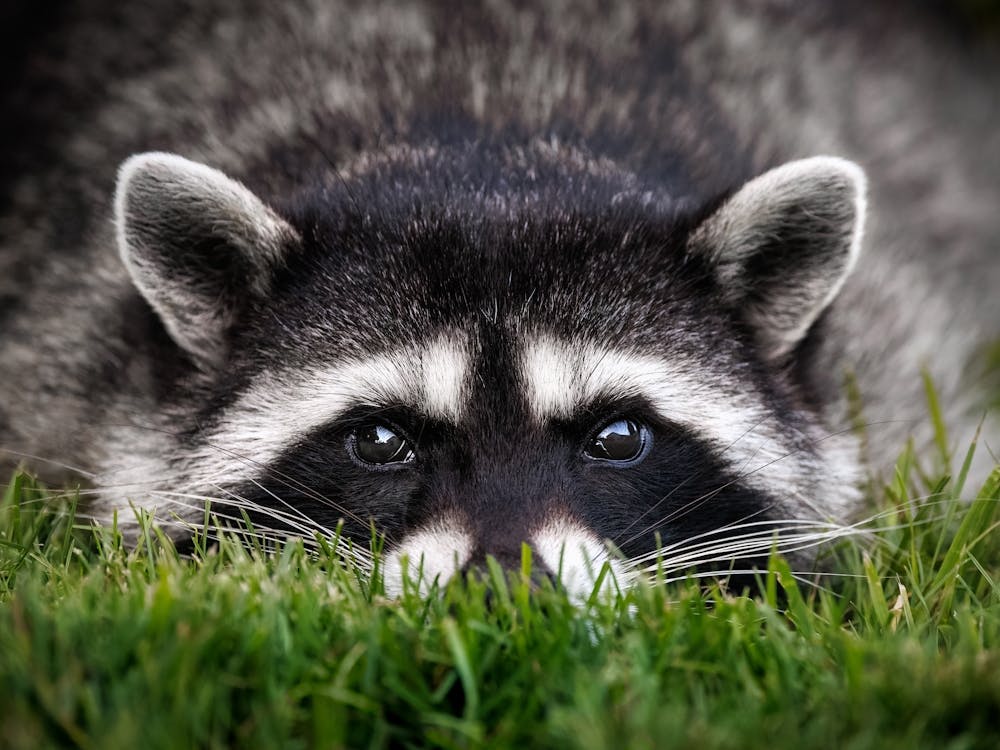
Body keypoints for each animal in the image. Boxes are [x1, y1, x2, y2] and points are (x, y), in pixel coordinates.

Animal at [1, 1, 998, 597]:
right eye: (380, 440)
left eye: (618, 437)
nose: (507, 591)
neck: (487, 147)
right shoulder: (65, 346)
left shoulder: (899, 349)